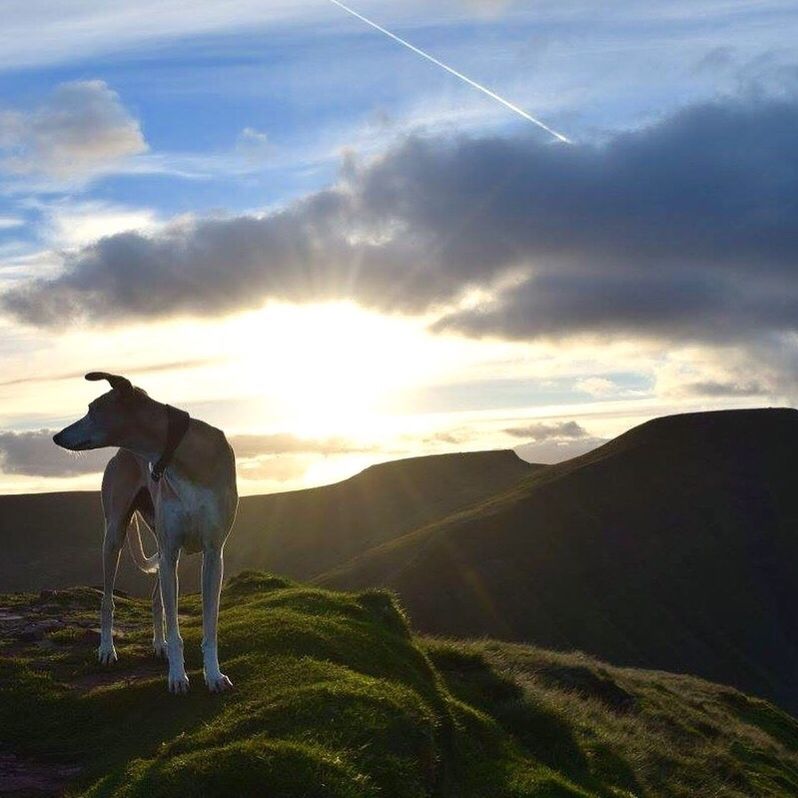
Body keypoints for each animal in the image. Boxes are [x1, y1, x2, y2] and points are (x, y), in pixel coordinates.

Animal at [52, 376, 238, 692]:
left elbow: (209, 626)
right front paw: (177, 677)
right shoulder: (170, 549)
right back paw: (107, 649)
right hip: (116, 535)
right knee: (107, 601)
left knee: (155, 598)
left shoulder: (213, 553)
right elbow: (176, 629)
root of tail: (121, 452)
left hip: (172, 551)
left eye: (93, 409)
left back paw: (159, 644)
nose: (57, 436)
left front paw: (213, 675)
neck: (179, 454)